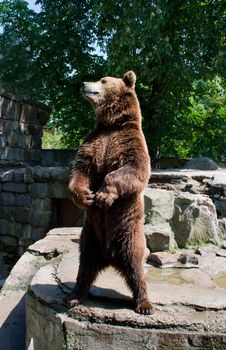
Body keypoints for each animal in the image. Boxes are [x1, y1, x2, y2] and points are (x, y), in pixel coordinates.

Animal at [66, 70, 154, 314]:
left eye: (103, 80)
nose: (83, 83)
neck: (112, 124)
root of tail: (109, 257)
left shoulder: (130, 143)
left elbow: (133, 170)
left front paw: (103, 195)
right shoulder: (92, 143)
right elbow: (80, 169)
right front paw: (84, 196)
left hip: (128, 234)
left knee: (135, 268)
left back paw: (144, 303)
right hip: (90, 236)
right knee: (85, 266)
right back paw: (75, 296)